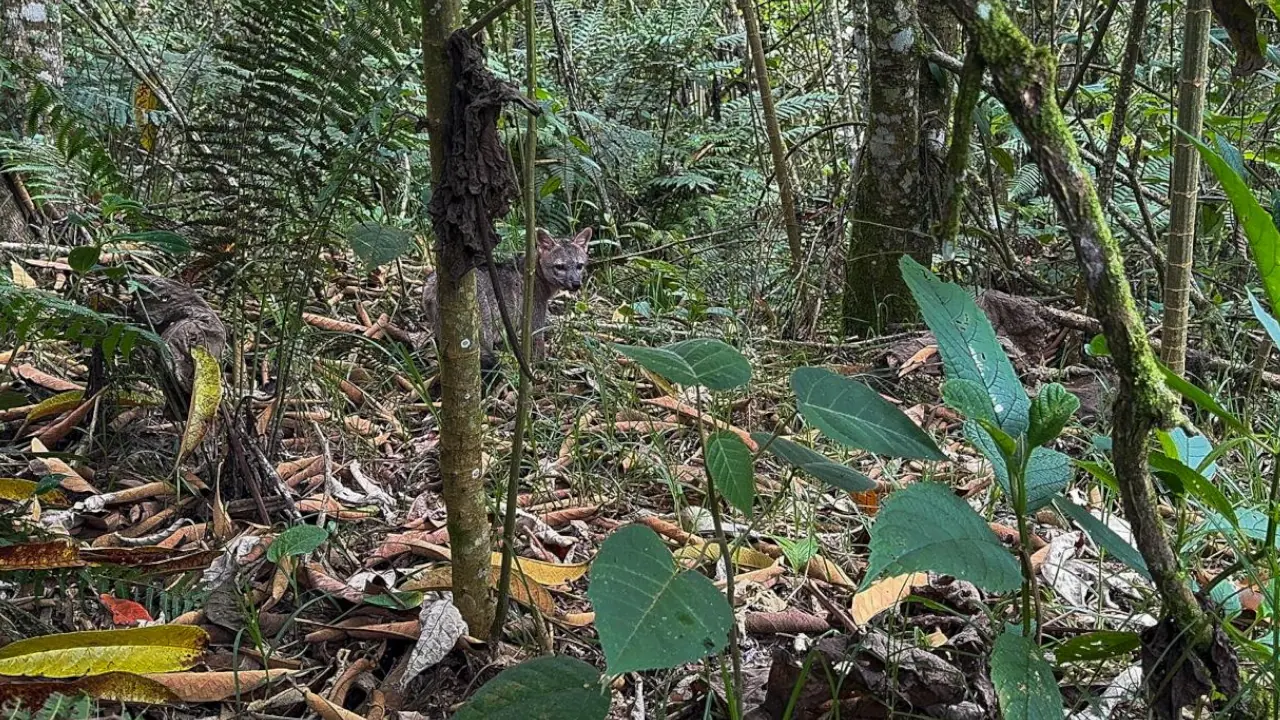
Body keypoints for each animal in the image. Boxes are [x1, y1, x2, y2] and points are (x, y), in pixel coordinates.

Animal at [422, 227, 591, 368]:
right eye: (560, 267)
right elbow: (538, 348)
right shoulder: (534, 322)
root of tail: (433, 282)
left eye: (579, 266)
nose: (576, 284)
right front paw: (541, 369)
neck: (533, 275)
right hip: (482, 335)